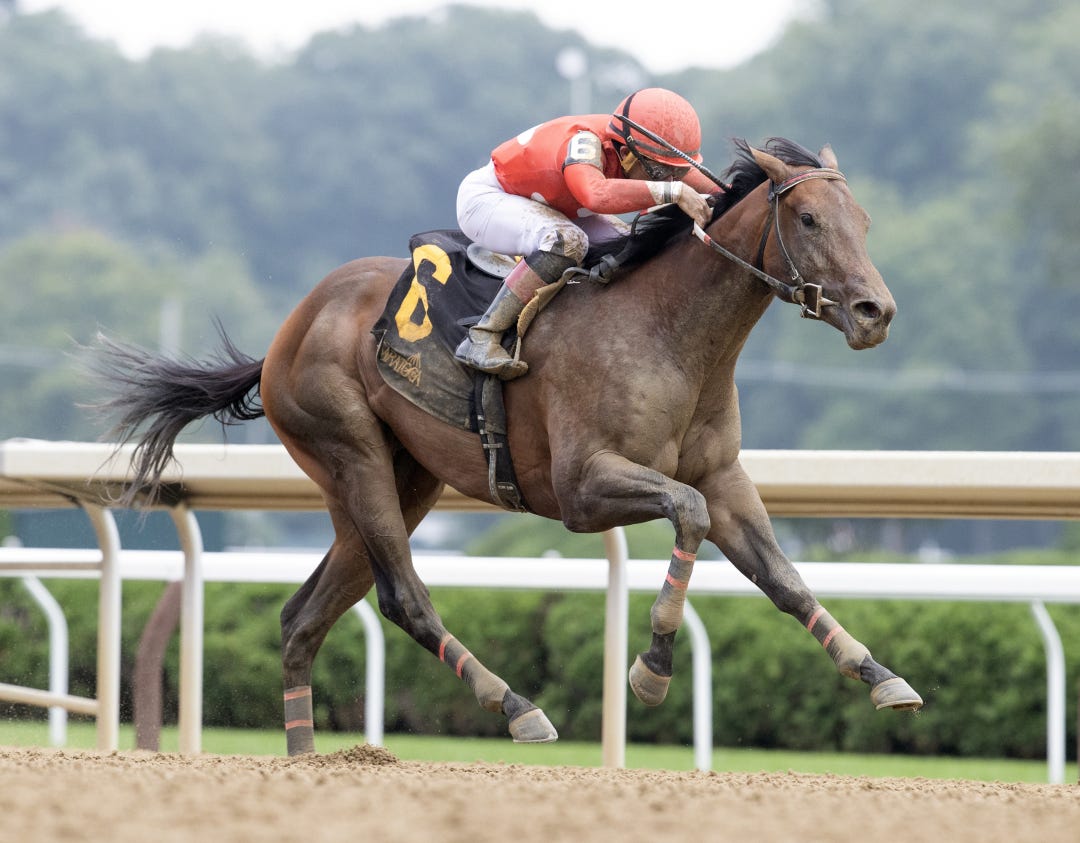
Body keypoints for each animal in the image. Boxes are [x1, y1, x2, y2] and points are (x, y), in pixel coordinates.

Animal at [91, 137, 921, 755]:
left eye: (863, 219)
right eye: (808, 218)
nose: (876, 311)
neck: (668, 331)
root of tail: (287, 333)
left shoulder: (723, 475)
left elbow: (783, 576)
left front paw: (879, 672)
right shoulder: (585, 487)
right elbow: (686, 513)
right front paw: (651, 671)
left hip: (404, 480)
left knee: (303, 617)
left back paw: (306, 759)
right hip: (350, 452)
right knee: (403, 597)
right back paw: (517, 705)